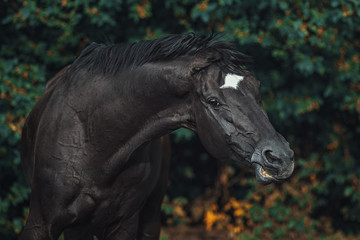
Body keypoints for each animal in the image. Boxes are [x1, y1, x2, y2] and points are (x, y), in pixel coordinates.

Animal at [19, 32, 294, 239]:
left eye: (257, 89)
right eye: (213, 101)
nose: (281, 157)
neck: (92, 138)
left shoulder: (123, 225)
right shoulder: (41, 223)